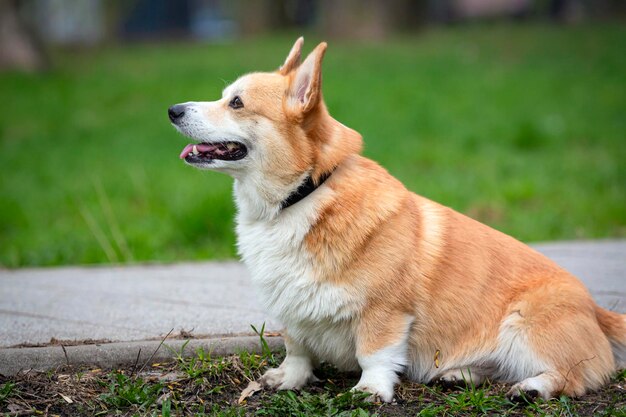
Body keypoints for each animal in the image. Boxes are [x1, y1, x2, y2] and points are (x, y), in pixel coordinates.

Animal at [168, 37, 620, 402]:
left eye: (237, 103)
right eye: (225, 96)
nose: (172, 109)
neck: (302, 195)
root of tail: (596, 310)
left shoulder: (384, 311)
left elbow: (375, 353)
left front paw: (371, 390)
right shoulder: (291, 311)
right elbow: (297, 349)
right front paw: (288, 379)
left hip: (525, 327)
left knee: (574, 376)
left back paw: (531, 388)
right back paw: (458, 375)